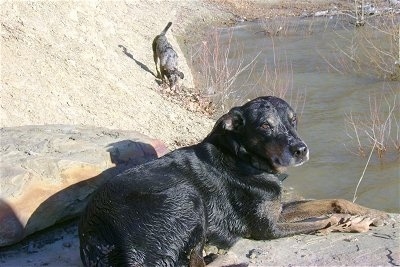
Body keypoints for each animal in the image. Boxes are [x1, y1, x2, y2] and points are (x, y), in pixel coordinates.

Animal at [78, 97, 388, 267]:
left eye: (293, 120)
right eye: (265, 125)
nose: (301, 149)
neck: (245, 159)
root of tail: (102, 233)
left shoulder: (277, 208)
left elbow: (333, 200)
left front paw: (374, 212)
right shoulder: (269, 228)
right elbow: (321, 220)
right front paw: (340, 223)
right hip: (187, 197)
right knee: (195, 262)